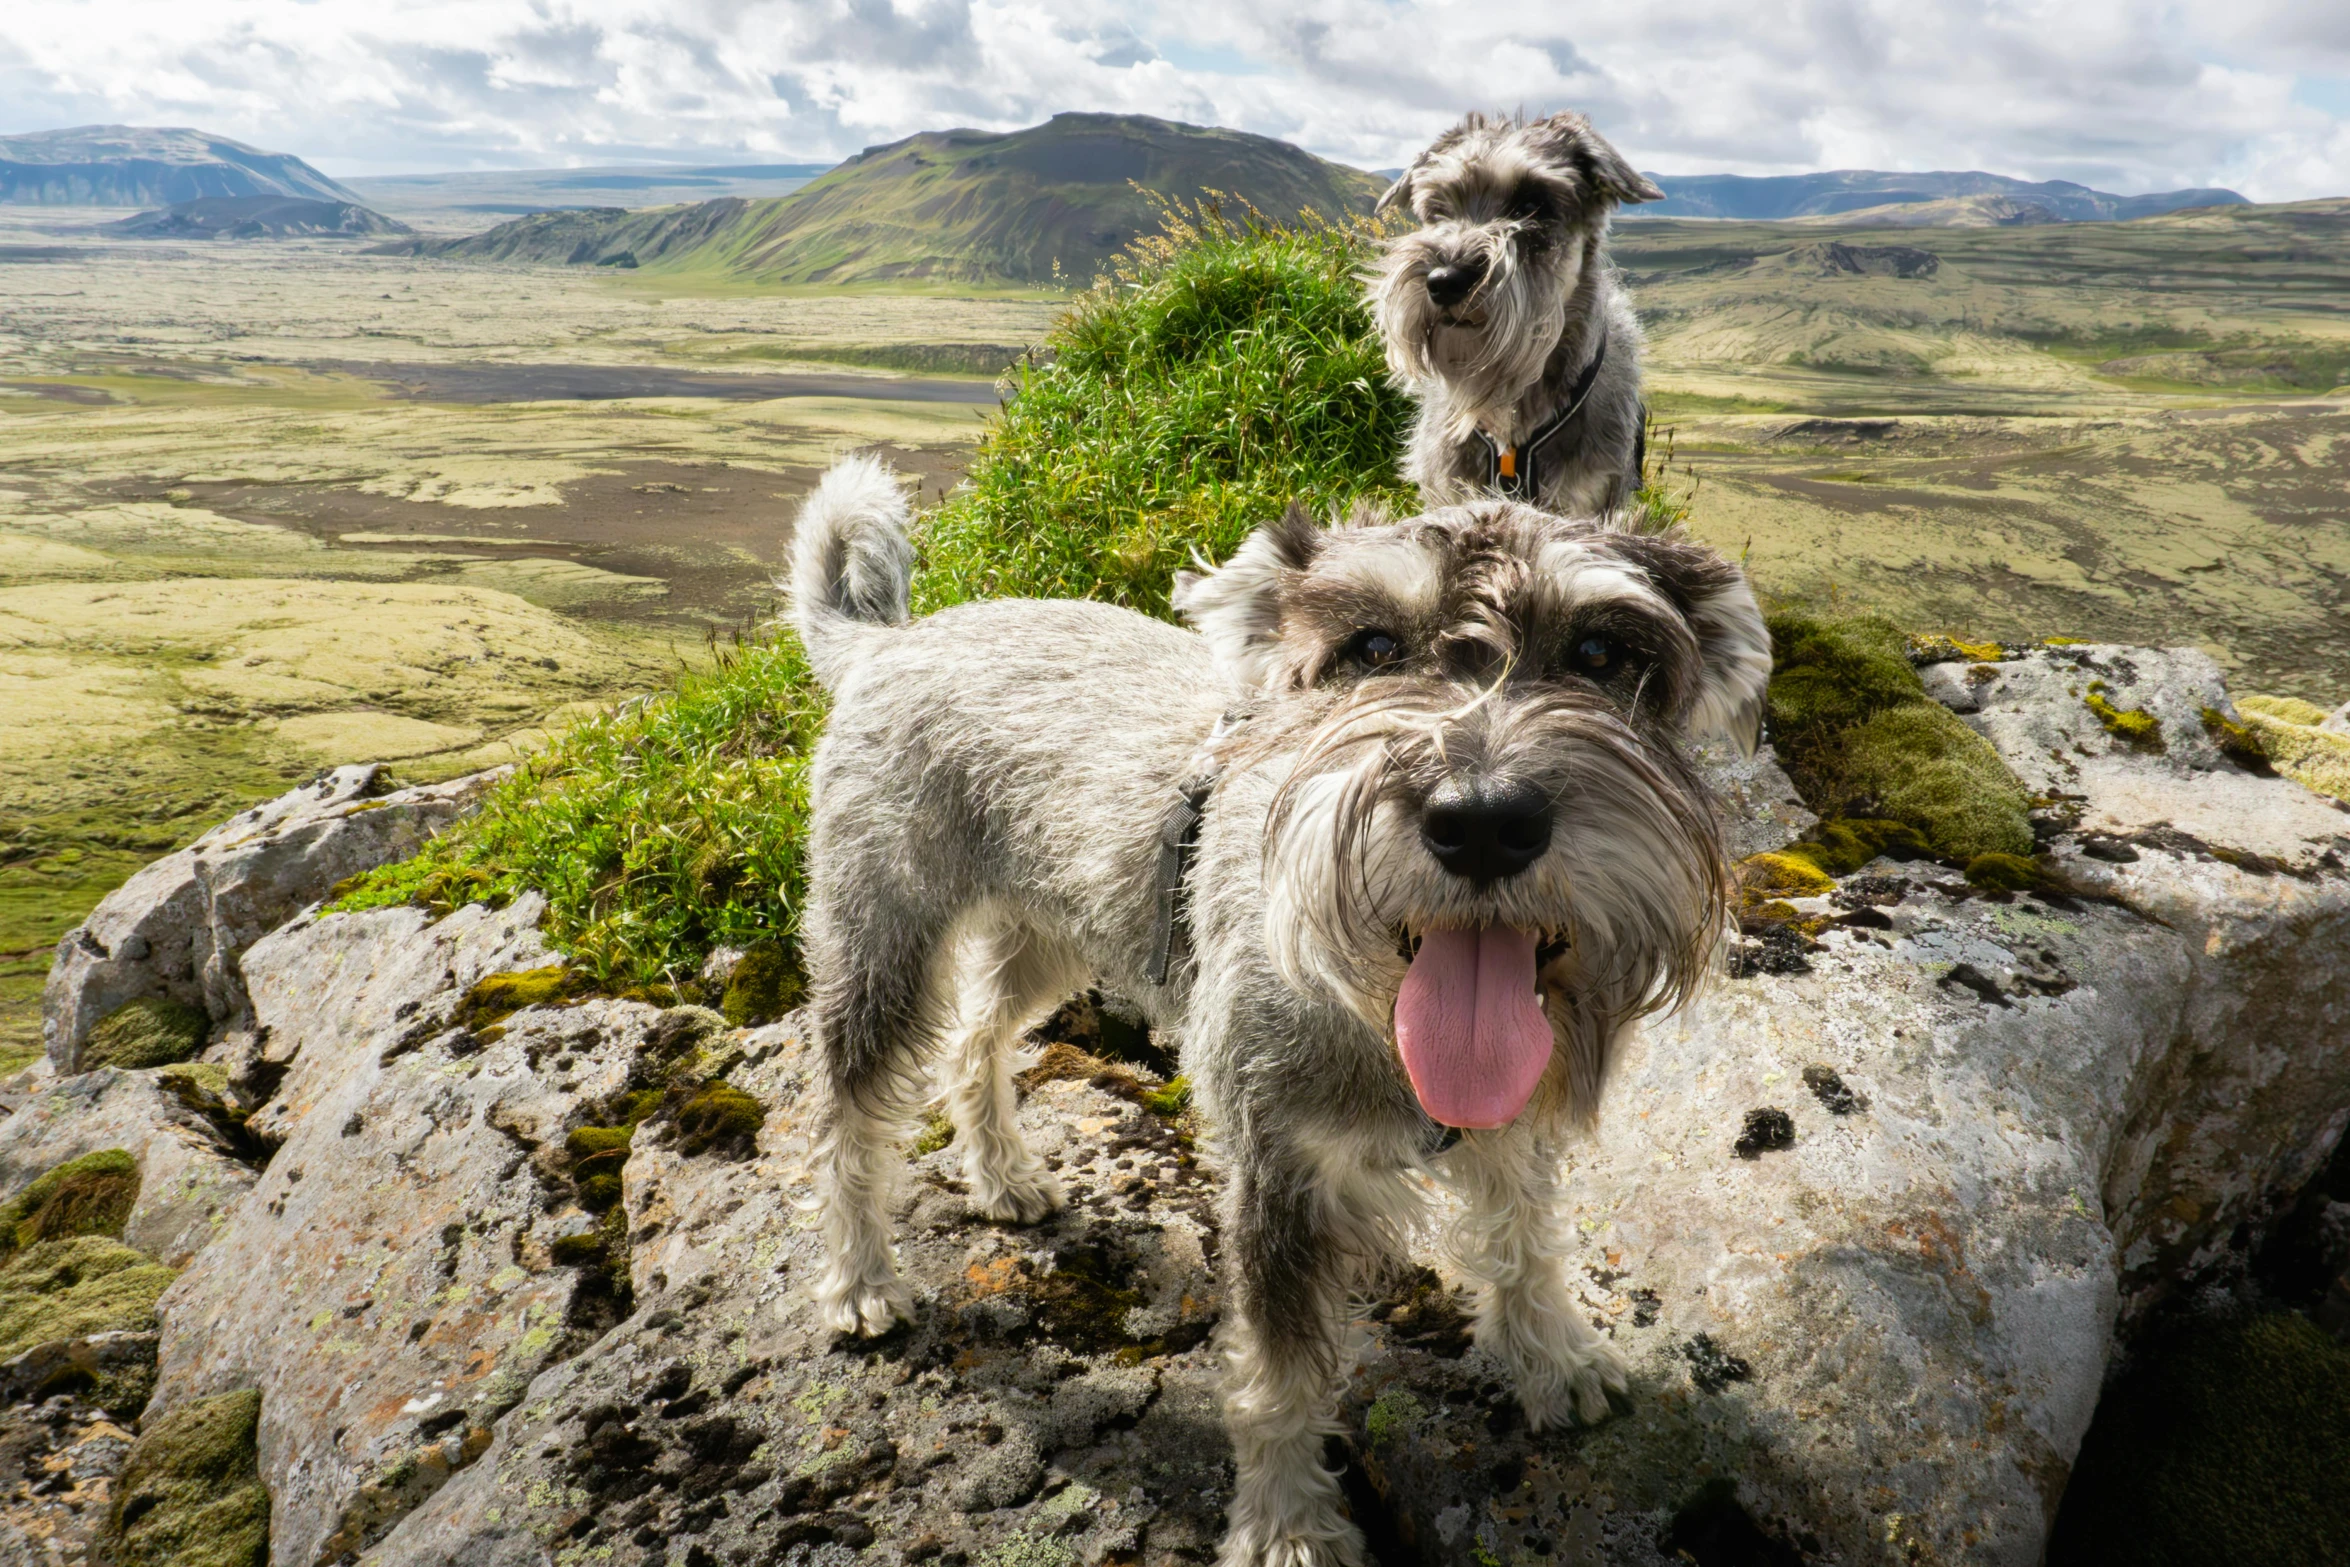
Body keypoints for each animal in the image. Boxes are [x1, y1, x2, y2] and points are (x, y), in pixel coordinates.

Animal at [789, 455, 1767, 1567]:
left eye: (1603, 652)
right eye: (1370, 647)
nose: (1482, 821)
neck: (1378, 1008)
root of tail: (886, 644)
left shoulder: (1512, 1126)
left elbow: (1523, 1237)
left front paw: (1552, 1356)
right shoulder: (1279, 1170)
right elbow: (1282, 1372)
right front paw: (1288, 1527)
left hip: (1055, 935)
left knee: (976, 1039)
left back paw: (1004, 1176)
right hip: (884, 943)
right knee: (848, 1113)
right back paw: (860, 1280)